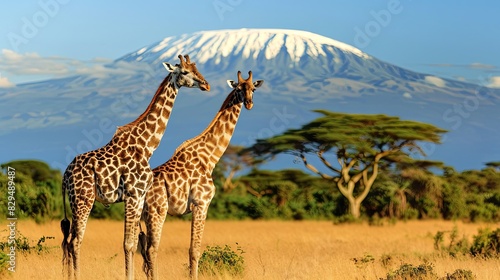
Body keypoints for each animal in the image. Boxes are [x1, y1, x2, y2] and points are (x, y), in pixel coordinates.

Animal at [61, 55, 211, 280]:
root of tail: (65, 175)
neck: (146, 146)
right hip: (83, 198)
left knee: (69, 241)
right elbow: (129, 244)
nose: (206, 84)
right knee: (75, 241)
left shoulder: (139, 197)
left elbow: (133, 244)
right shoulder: (133, 194)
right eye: (185, 72)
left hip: (75, 201)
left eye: (196, 68)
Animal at [137, 70, 262, 280]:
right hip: (157, 211)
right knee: (151, 250)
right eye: (238, 88)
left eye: (253, 88)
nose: (249, 103)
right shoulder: (201, 203)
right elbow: (194, 250)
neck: (209, 157)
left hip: (142, 215)